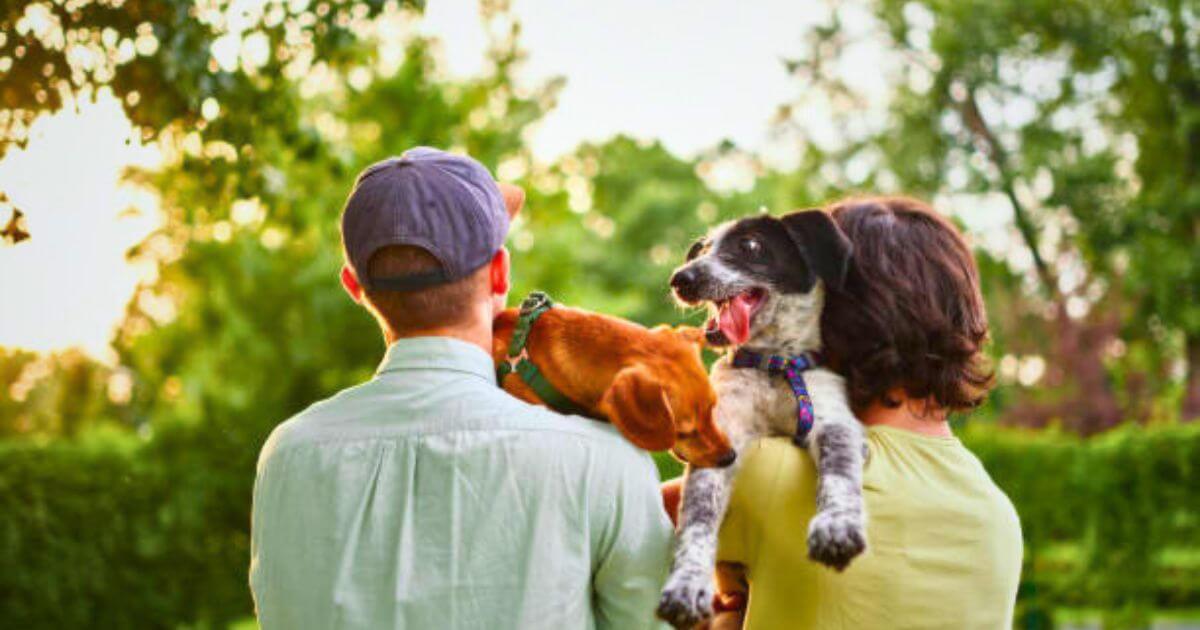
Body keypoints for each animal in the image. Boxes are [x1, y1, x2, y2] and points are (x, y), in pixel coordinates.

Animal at [657, 208, 873, 624]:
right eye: (702, 250)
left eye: (751, 245)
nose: (681, 278)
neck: (772, 367)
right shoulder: (720, 441)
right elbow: (697, 520)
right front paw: (687, 585)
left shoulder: (834, 421)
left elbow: (840, 474)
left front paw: (836, 528)